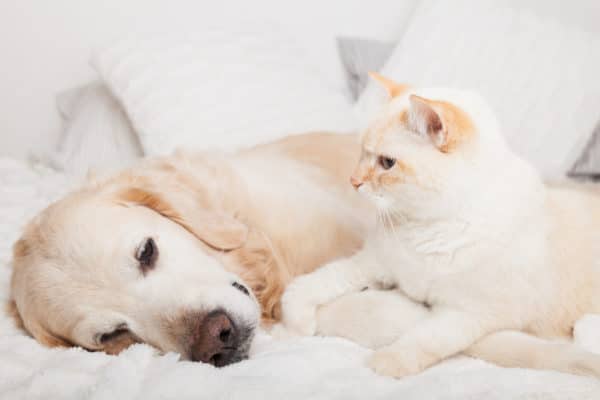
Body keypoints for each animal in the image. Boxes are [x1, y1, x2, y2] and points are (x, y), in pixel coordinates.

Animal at [278, 73, 600, 376]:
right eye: (362, 153)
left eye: (387, 163)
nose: (353, 182)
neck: (429, 228)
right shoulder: (374, 264)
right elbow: (311, 284)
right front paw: (297, 326)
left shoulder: (470, 313)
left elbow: (424, 339)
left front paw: (385, 364)